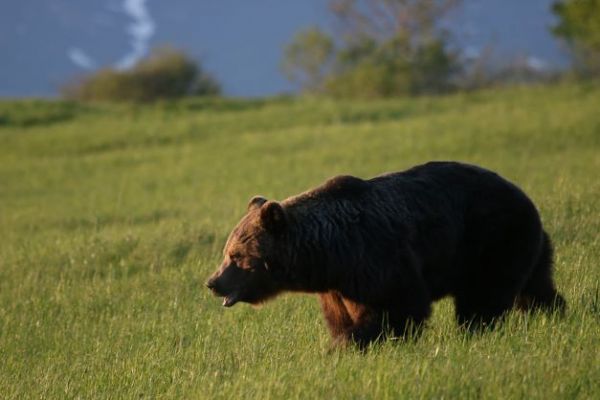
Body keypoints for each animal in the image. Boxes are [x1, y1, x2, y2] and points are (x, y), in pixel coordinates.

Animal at [206, 162, 568, 346]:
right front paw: (342, 340)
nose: (212, 282)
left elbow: (394, 308)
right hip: (526, 243)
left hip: (490, 237)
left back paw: (475, 330)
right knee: (536, 287)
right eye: (227, 252)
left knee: (484, 295)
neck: (328, 256)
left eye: (236, 256)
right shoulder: (337, 288)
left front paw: (347, 345)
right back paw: (555, 314)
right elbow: (341, 317)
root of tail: (522, 193)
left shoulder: (376, 261)